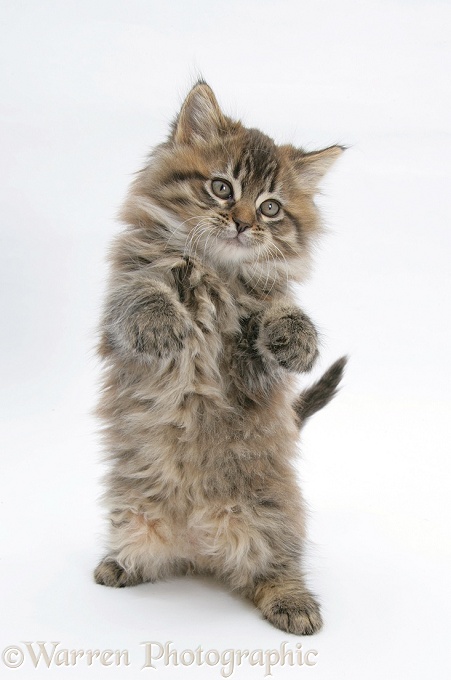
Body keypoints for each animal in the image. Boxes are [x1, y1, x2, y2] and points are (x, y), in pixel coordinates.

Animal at [94, 82, 346, 636]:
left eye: (271, 208)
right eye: (222, 188)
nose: (243, 223)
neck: (215, 270)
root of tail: (199, 544)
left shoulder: (255, 346)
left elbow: (279, 312)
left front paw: (298, 339)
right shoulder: (122, 294)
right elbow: (141, 296)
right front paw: (165, 323)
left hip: (271, 516)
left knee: (275, 565)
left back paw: (294, 603)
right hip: (133, 508)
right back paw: (119, 564)